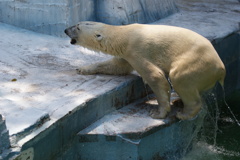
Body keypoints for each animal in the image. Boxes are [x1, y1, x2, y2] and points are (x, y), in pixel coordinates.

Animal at [64, 21, 225, 120]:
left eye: (77, 27)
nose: (65, 30)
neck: (124, 34)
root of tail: (221, 69)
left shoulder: (136, 50)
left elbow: (155, 77)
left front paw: (158, 113)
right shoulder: (126, 54)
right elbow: (118, 66)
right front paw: (83, 68)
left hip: (197, 62)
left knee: (180, 77)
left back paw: (184, 113)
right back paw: (180, 102)